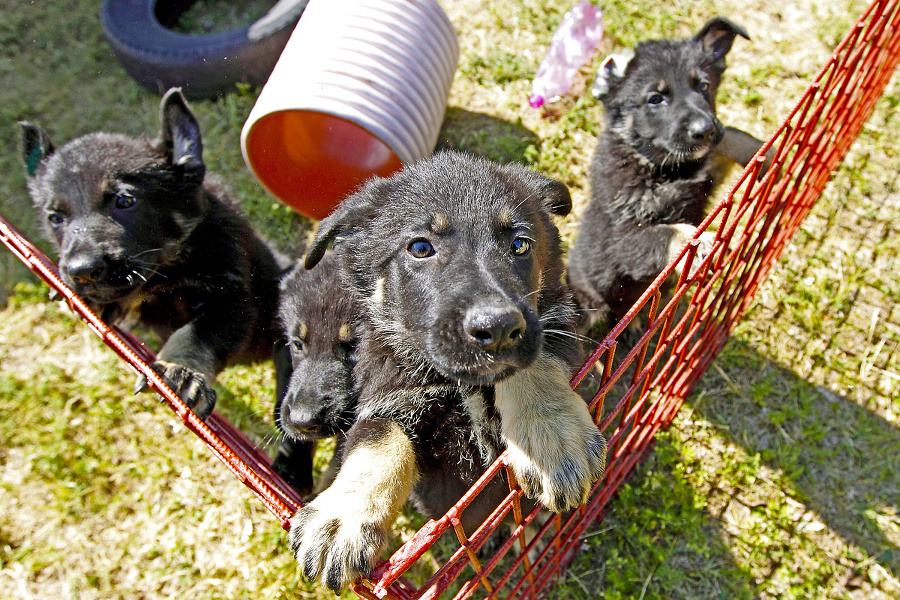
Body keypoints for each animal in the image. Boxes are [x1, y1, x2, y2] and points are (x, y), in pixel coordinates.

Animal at [19, 88, 286, 418]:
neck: (169, 271)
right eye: (56, 218)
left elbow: (196, 334)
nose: (82, 271)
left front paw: (179, 370)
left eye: (125, 201)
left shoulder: (234, 299)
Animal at [292, 151, 608, 592]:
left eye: (520, 244)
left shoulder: (553, 325)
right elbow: (378, 440)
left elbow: (533, 361)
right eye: (421, 248)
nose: (498, 328)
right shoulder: (388, 396)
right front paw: (342, 518)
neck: (461, 384)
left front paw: (553, 437)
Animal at [568, 16, 768, 330]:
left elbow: (729, 135)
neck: (662, 165)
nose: (704, 130)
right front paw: (701, 241)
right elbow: (670, 231)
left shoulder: (706, 169)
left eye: (703, 85)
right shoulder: (624, 237)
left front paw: (764, 151)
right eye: (655, 99)